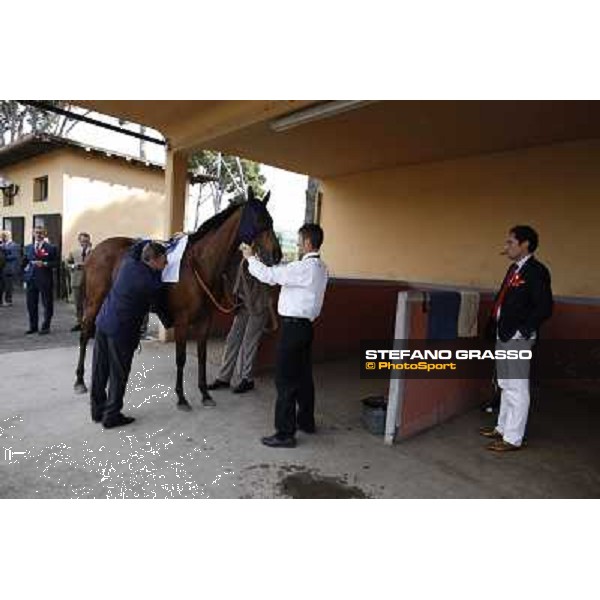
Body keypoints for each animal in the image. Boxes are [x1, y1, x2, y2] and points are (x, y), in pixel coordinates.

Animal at [74, 190, 282, 410]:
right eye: (258, 220)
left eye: (271, 220)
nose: (277, 255)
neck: (199, 264)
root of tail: (95, 251)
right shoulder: (182, 322)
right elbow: (181, 358)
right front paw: (181, 397)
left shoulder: (204, 321)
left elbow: (201, 356)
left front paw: (205, 394)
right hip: (94, 302)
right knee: (85, 333)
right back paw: (79, 381)